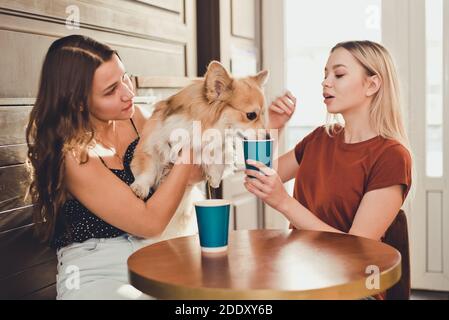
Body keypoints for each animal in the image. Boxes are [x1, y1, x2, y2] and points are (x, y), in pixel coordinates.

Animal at [130, 60, 270, 242]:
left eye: (264, 114)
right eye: (251, 115)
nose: (268, 136)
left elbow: (219, 153)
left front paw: (214, 175)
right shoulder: (151, 144)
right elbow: (148, 169)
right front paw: (140, 187)